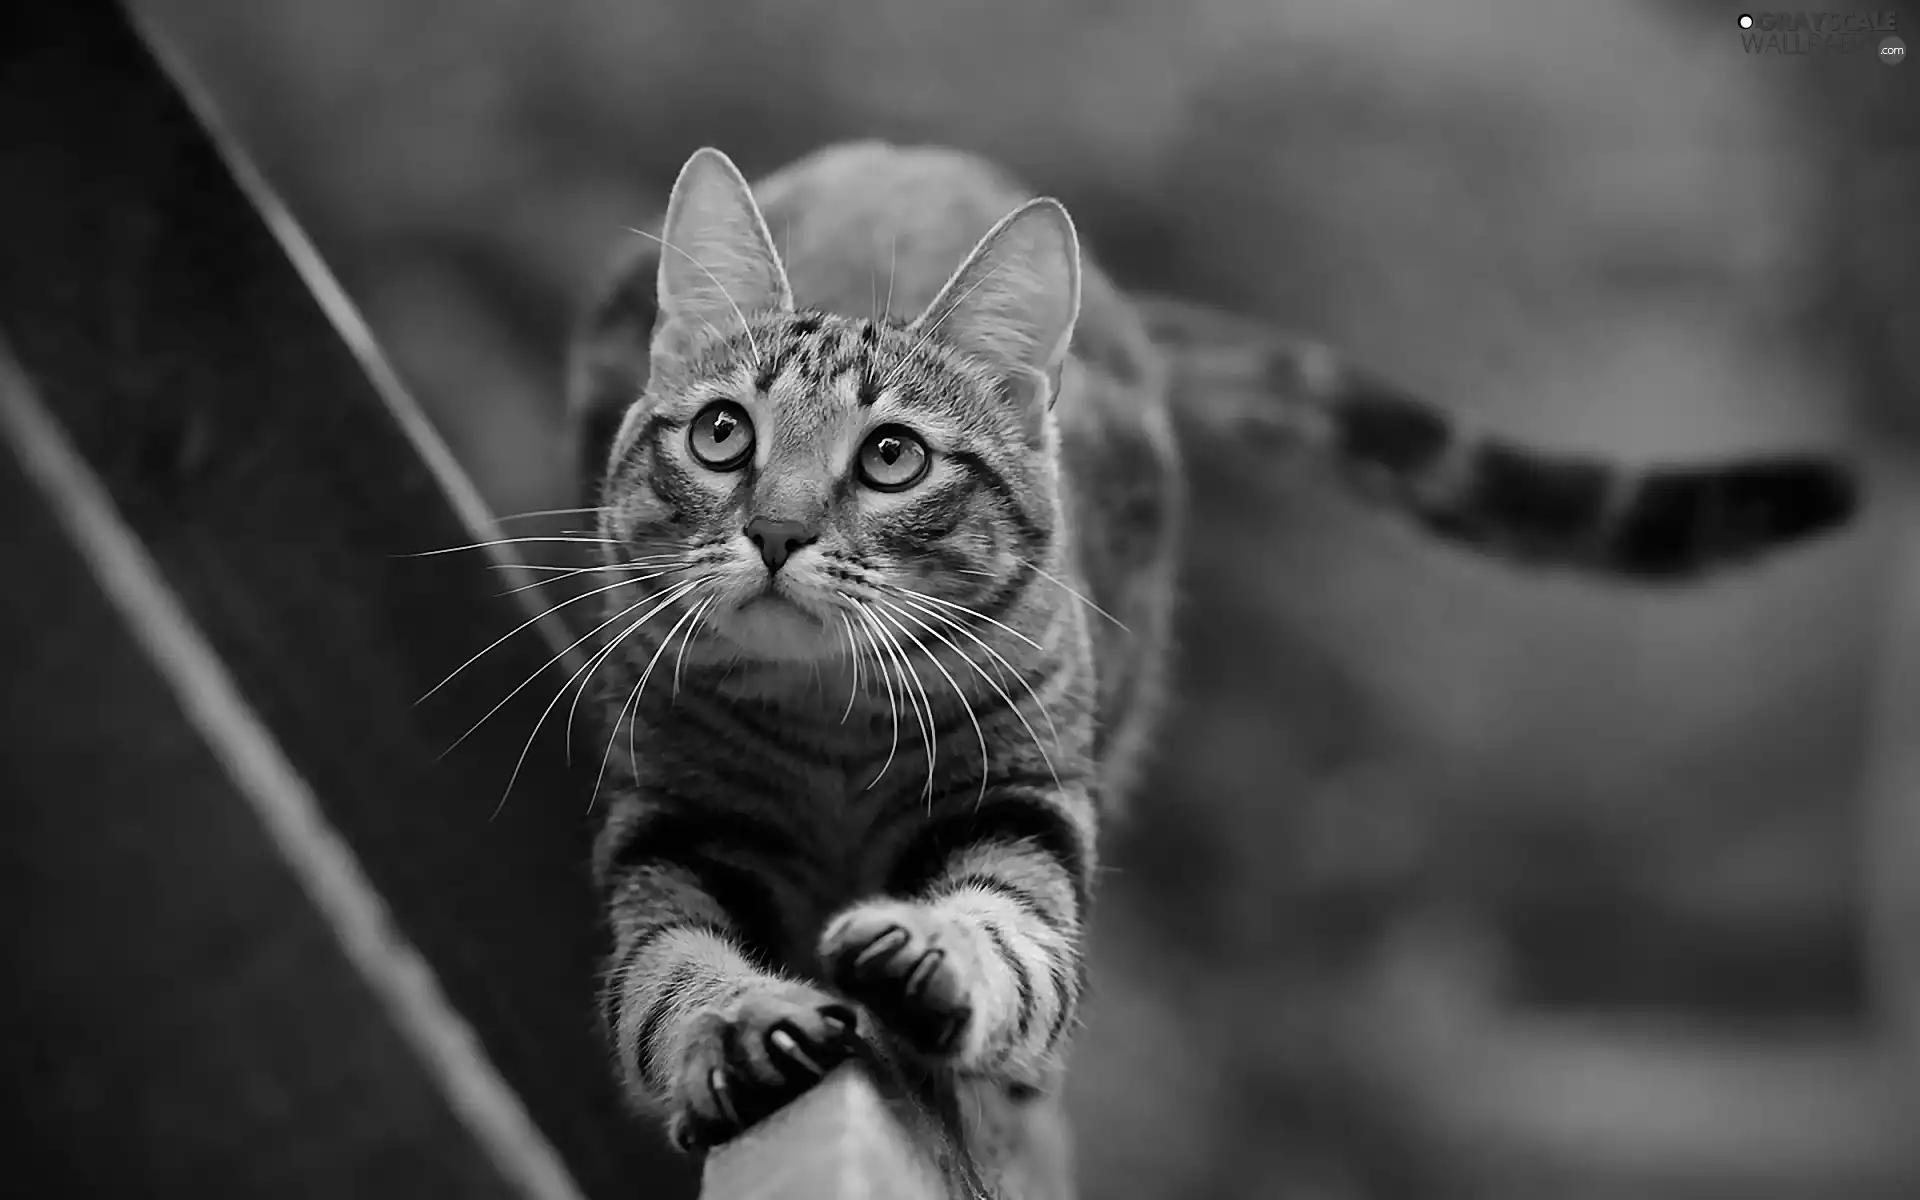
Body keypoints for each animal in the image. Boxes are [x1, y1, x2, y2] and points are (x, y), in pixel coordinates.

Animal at [560, 138, 1858, 1190]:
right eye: (722, 433)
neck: (830, 723)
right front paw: (741, 1027)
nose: (776, 531)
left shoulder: (1027, 801)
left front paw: (939, 959)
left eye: (891, 457)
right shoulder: (667, 822)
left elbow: (1017, 932)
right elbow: (665, 964)